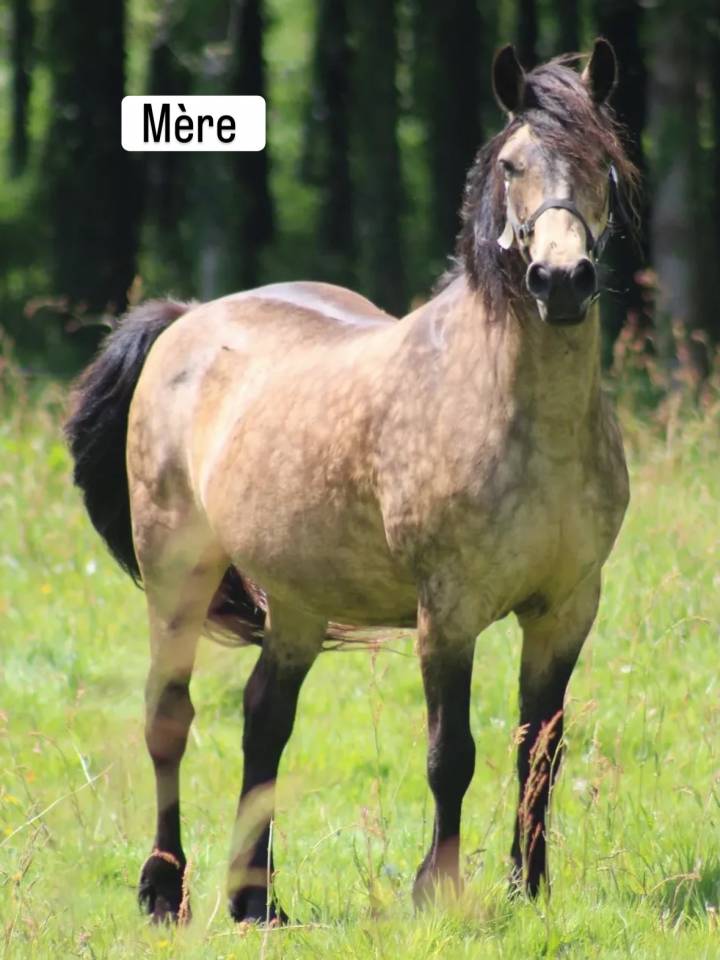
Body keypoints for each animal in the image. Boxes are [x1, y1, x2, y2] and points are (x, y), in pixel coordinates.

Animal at [66, 39, 636, 923]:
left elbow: (539, 750)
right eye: (513, 164)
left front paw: (530, 888)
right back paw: (165, 889)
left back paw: (255, 899)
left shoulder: (567, 608)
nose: (562, 280)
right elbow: (451, 753)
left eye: (602, 163)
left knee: (264, 720)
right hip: (177, 574)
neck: (519, 416)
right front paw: (437, 891)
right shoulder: (449, 613)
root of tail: (188, 318)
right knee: (168, 717)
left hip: (297, 601)